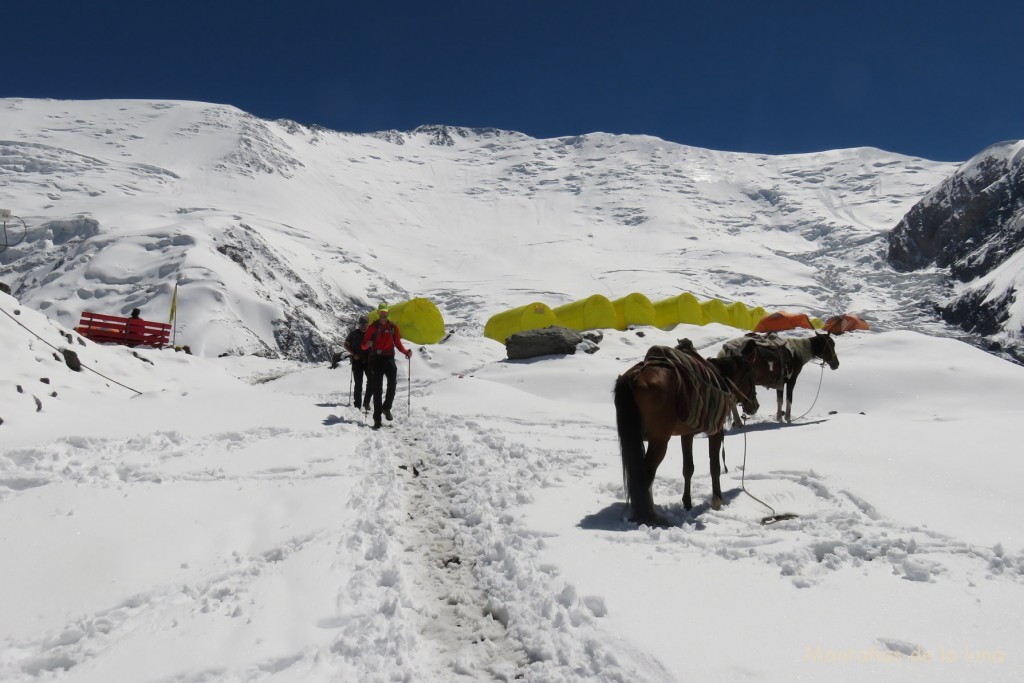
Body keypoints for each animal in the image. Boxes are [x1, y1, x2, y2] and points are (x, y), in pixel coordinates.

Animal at [610, 339, 757, 528]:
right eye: (752, 376)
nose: (755, 405)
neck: (720, 378)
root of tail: (635, 376)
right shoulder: (715, 432)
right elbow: (714, 467)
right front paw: (717, 500)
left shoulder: (687, 434)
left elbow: (688, 468)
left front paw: (687, 503)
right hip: (659, 441)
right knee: (646, 474)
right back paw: (651, 516)